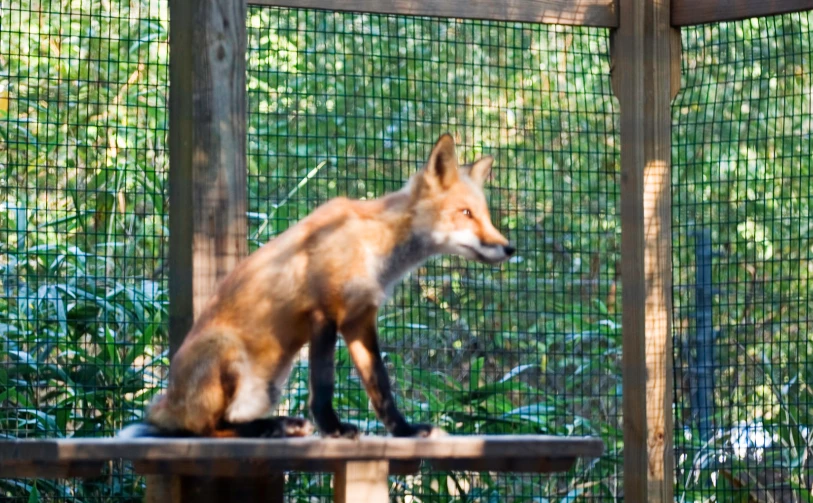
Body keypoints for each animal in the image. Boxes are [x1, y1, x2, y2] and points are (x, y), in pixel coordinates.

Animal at [120, 135, 512, 440]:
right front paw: (334, 429)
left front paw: (404, 431)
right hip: (226, 351)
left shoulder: (359, 320)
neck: (374, 244)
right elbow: (323, 385)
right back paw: (273, 427)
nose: (509, 248)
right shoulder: (324, 311)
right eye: (465, 213)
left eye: (485, 214)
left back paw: (275, 425)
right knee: (206, 428)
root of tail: (165, 403)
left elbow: (380, 387)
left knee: (225, 420)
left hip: (268, 386)